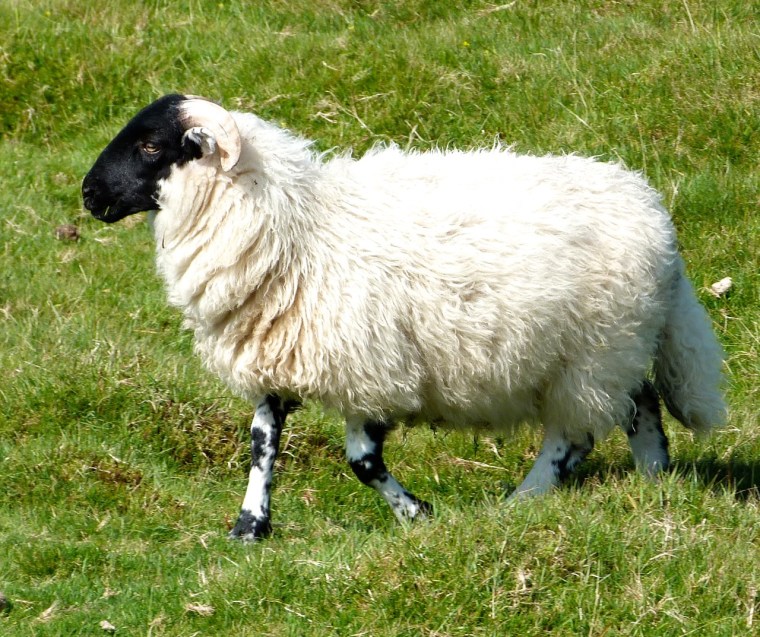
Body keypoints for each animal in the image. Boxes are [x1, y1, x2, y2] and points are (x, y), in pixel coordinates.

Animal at [82, 94, 727, 541]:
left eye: (151, 147)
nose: (89, 195)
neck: (293, 222)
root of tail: (653, 212)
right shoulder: (279, 354)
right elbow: (263, 444)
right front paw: (249, 528)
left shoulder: (370, 365)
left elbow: (363, 462)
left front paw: (417, 514)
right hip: (618, 347)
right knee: (641, 405)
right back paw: (655, 482)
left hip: (591, 354)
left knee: (575, 436)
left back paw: (523, 501)